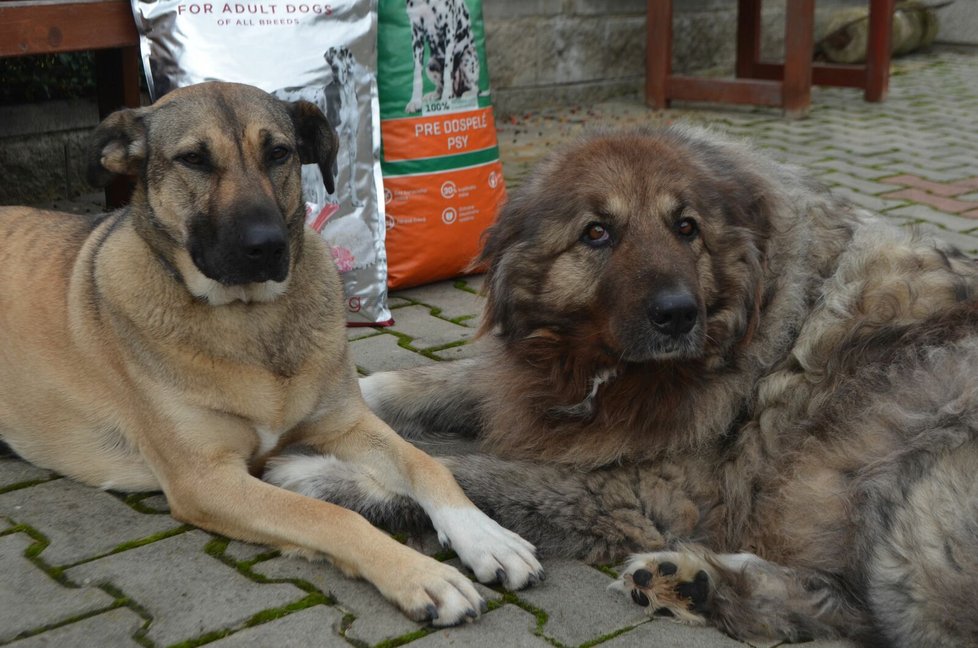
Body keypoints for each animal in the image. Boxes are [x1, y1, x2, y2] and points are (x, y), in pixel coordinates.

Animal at [0, 78, 540, 624]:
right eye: (193, 159)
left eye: (279, 152)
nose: (266, 245)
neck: (252, 317)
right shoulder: (206, 479)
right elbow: (329, 514)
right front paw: (420, 575)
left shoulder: (346, 423)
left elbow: (428, 465)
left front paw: (486, 537)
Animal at [270, 128, 976, 648]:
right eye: (597, 233)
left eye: (687, 228)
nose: (678, 315)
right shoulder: (532, 392)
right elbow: (430, 385)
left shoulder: (646, 493)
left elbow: (462, 473)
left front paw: (314, 475)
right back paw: (691, 581)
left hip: (913, 493)